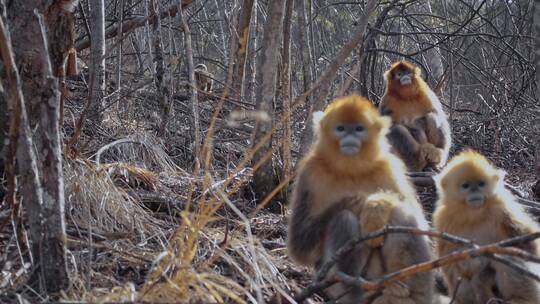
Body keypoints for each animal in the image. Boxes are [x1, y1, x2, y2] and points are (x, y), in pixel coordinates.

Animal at [286, 95, 434, 304]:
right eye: (341, 128)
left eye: (358, 129)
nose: (350, 137)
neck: (350, 168)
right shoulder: (309, 173)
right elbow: (299, 246)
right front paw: (350, 201)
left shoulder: (388, 167)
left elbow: (419, 220)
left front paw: (376, 207)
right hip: (334, 283)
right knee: (344, 219)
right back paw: (359, 291)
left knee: (402, 215)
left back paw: (412, 294)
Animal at [434, 150, 540, 304]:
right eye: (466, 186)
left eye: (481, 184)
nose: (474, 191)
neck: (474, 214)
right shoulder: (443, 219)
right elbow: (449, 260)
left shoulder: (503, 208)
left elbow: (528, 243)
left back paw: (520, 299)